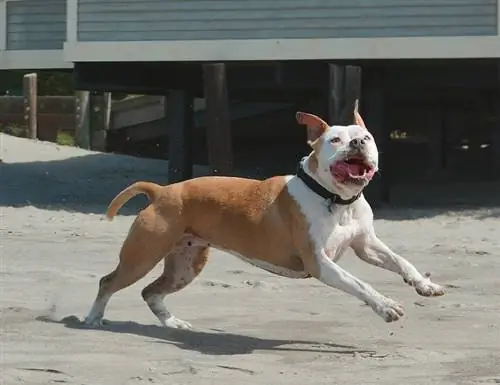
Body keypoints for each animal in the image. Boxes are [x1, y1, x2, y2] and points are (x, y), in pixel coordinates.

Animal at [83, 105, 446, 328]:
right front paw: (386, 306)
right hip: (142, 257)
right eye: (335, 140)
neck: (335, 199)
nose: (357, 141)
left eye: (366, 137)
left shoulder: (366, 244)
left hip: (185, 265)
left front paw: (425, 284)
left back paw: (172, 323)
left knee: (150, 292)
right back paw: (93, 318)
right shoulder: (321, 263)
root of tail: (161, 191)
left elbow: (401, 262)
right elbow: (360, 283)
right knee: (108, 282)